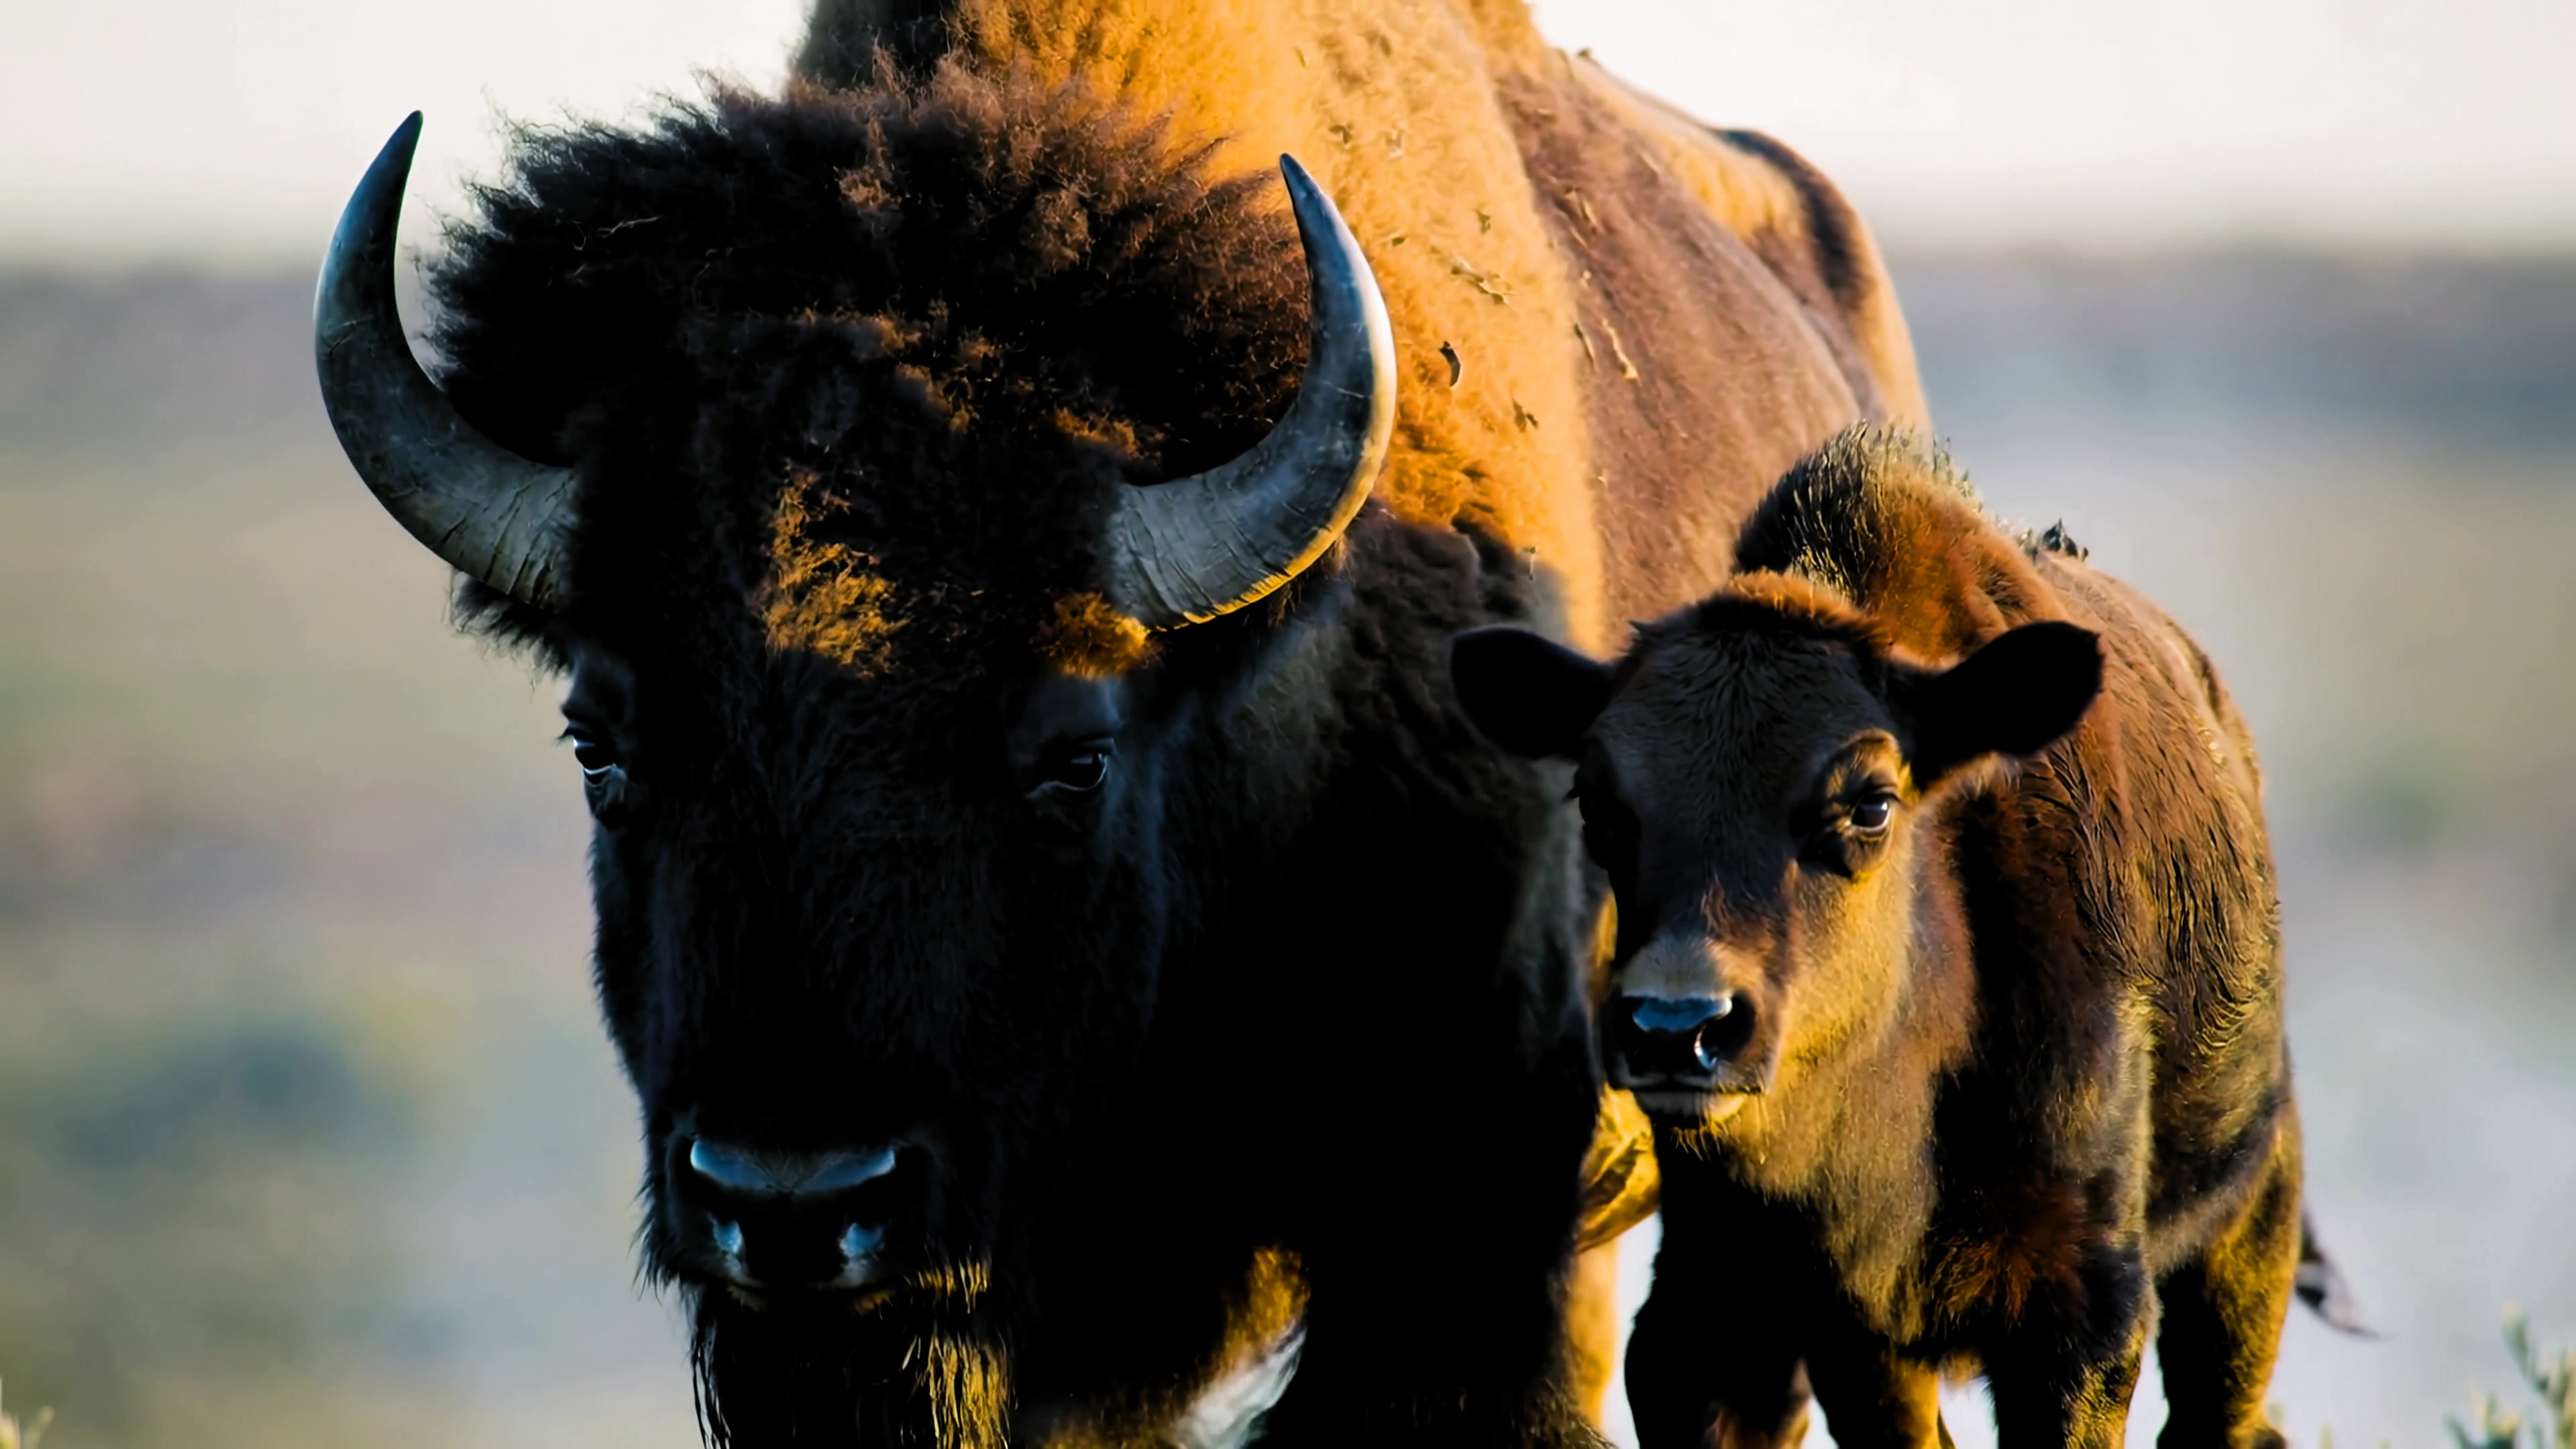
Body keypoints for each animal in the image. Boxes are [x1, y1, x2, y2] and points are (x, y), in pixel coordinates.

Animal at [1453, 427, 2357, 1448]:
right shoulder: (1783, 1316)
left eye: (1872, 802)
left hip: (2249, 1223)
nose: (1677, 1028)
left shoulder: (2081, 1313)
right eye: (1597, 800)